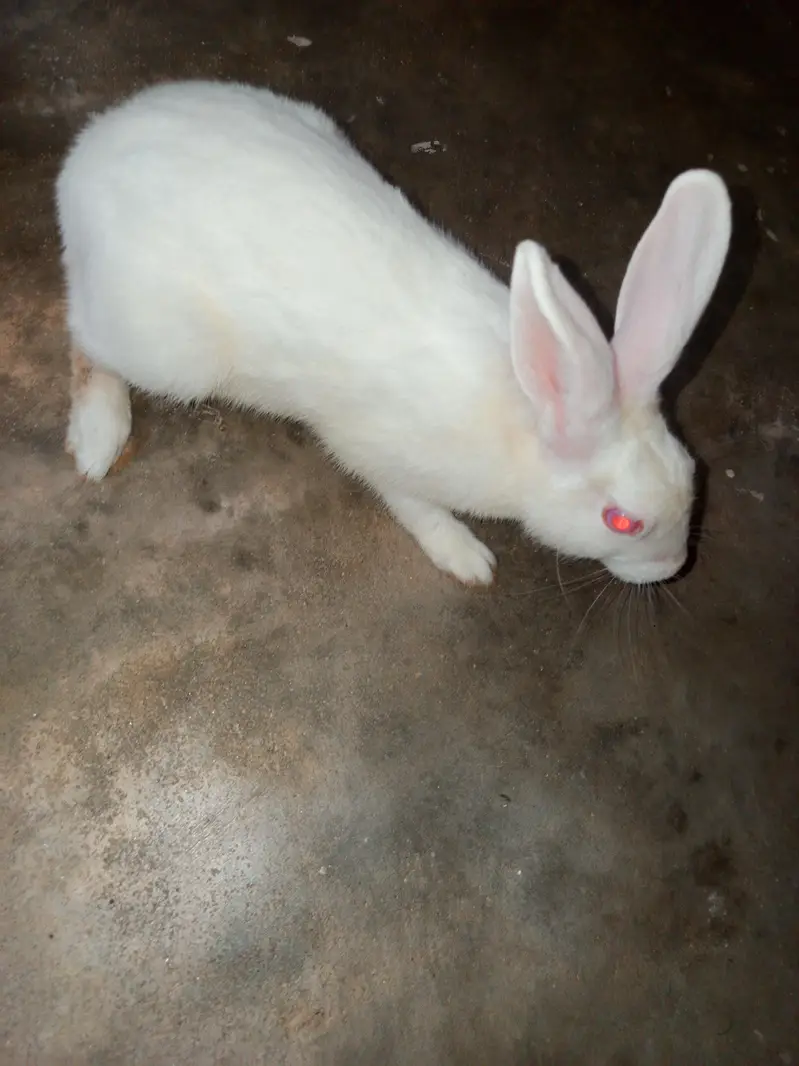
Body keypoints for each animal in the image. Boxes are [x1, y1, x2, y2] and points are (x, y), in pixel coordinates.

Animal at [56, 79, 732, 586]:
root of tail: (82, 162)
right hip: (170, 352)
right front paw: (468, 558)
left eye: (692, 472)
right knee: (83, 337)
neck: (525, 420)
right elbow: (415, 508)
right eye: (622, 522)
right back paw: (98, 437)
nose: (673, 567)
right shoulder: (381, 456)